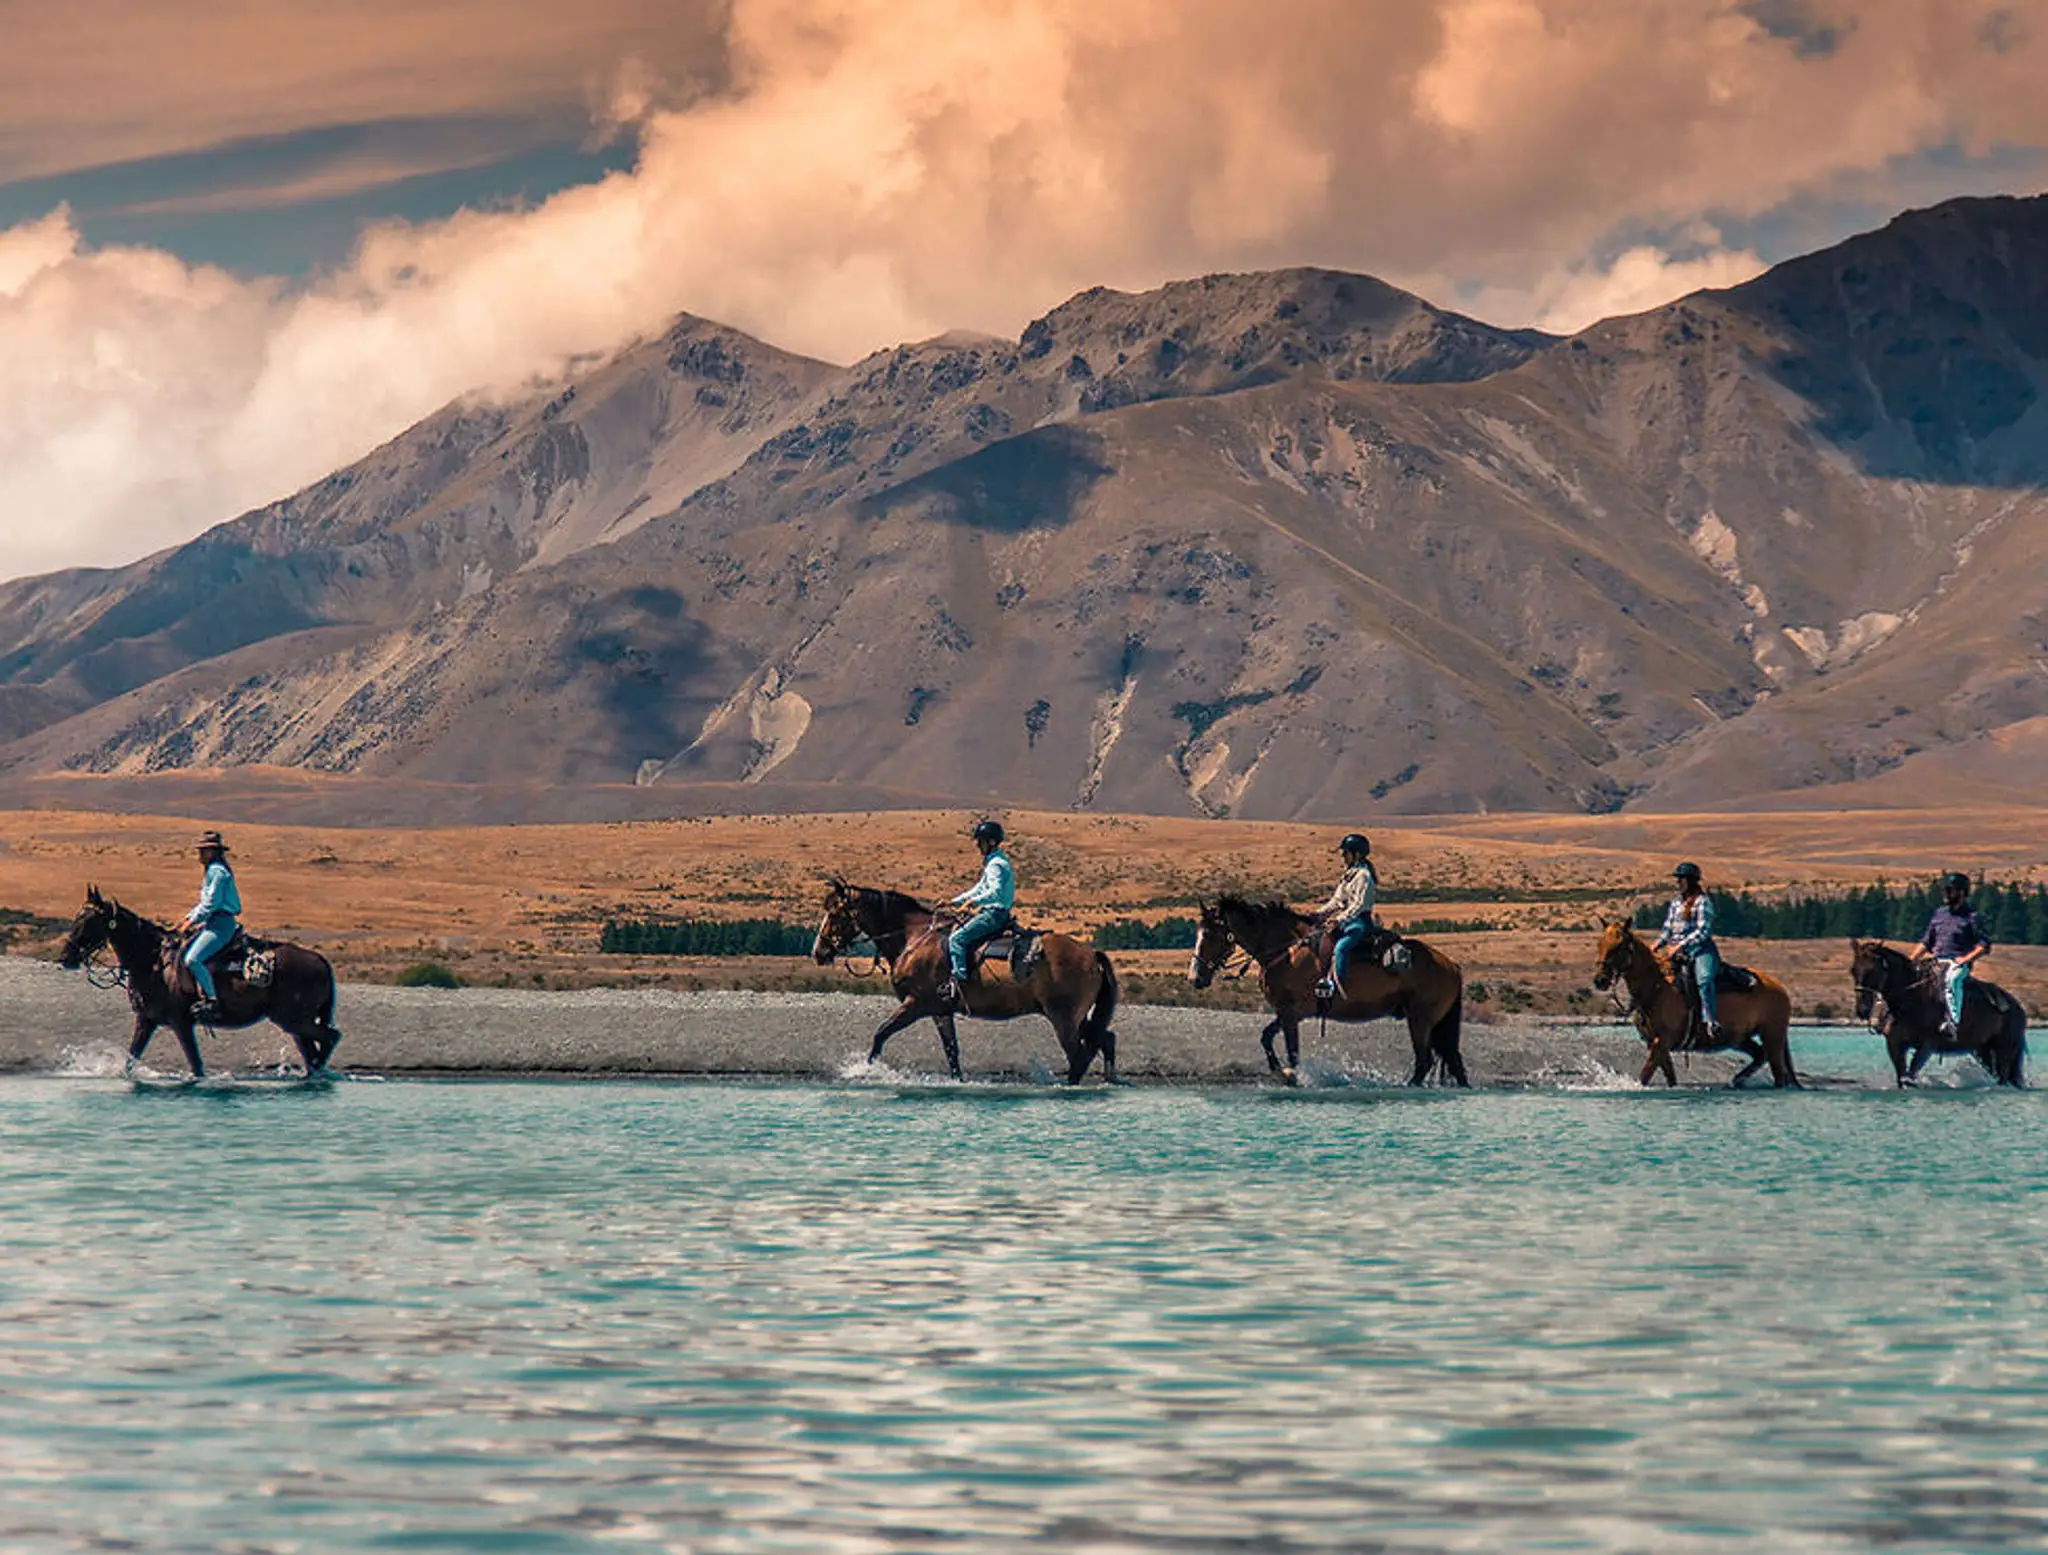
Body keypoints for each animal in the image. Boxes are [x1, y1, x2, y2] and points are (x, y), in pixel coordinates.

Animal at [57, 886, 343, 1078]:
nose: (65, 957)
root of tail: (321, 961)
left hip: (294, 1020)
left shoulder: (181, 1023)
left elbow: (196, 1066)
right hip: (294, 1023)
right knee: (312, 1050)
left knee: (330, 1037)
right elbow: (131, 1058)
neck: (152, 961)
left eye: (88, 920)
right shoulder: (146, 1020)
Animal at [810, 878, 1122, 1084]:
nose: (819, 951)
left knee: (1079, 1055)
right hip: (1077, 1017)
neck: (913, 938)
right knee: (1105, 1040)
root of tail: (1091, 954)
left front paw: (864, 1070)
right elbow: (952, 1051)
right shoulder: (940, 1011)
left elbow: (881, 1033)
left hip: (1063, 1018)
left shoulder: (916, 1004)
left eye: (835, 913)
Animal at [1187, 895, 1467, 1086]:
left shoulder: (1291, 1013)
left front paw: (1292, 1076)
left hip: (1420, 1018)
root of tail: (1451, 966)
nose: (1195, 977)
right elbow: (1266, 1037)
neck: (1286, 951)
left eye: (1210, 934)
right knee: (1452, 1061)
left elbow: (1292, 1051)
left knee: (1424, 1061)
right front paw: (1282, 1073)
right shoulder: (1287, 1012)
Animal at [1591, 920, 1798, 1088]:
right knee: (1759, 1055)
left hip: (1773, 1036)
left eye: (1619, 946)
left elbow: (1644, 1076)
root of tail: (1779, 987)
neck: (1656, 986)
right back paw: (1736, 1081)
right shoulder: (1656, 1043)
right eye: (1600, 944)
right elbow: (1670, 1077)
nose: (1600, 980)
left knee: (1777, 1071)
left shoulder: (1662, 1041)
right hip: (1740, 1038)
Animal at [1849, 939, 2027, 1088]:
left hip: (2005, 1049)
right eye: (1853, 970)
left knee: (2003, 1076)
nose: (1862, 1009)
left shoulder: (1927, 1045)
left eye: (1873, 970)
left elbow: (1911, 1073)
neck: (1910, 1001)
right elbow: (1902, 1076)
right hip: (1984, 1050)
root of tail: (2017, 1007)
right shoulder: (1895, 1044)